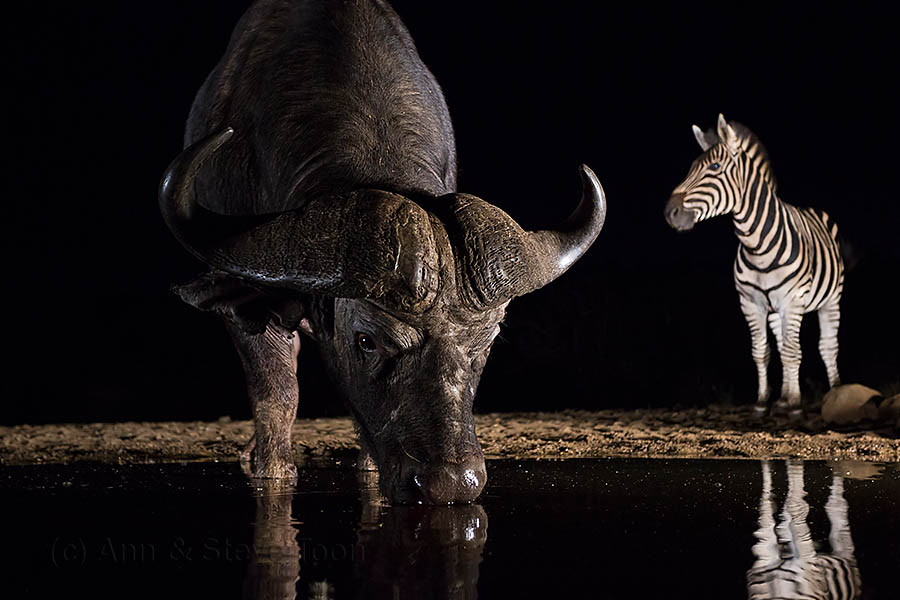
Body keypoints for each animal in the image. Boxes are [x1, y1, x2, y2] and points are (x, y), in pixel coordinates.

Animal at [665, 114, 844, 418]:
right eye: (690, 169)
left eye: (714, 167)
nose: (669, 213)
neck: (756, 246)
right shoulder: (751, 303)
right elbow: (762, 352)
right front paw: (763, 402)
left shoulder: (793, 300)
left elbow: (793, 352)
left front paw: (796, 407)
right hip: (774, 311)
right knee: (781, 343)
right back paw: (783, 398)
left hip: (831, 298)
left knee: (827, 347)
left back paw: (835, 393)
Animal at [746, 460, 861, 600]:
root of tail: (778, 596)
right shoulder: (844, 551)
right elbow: (837, 505)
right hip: (805, 570)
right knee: (796, 503)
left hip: (764, 561)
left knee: (767, 513)